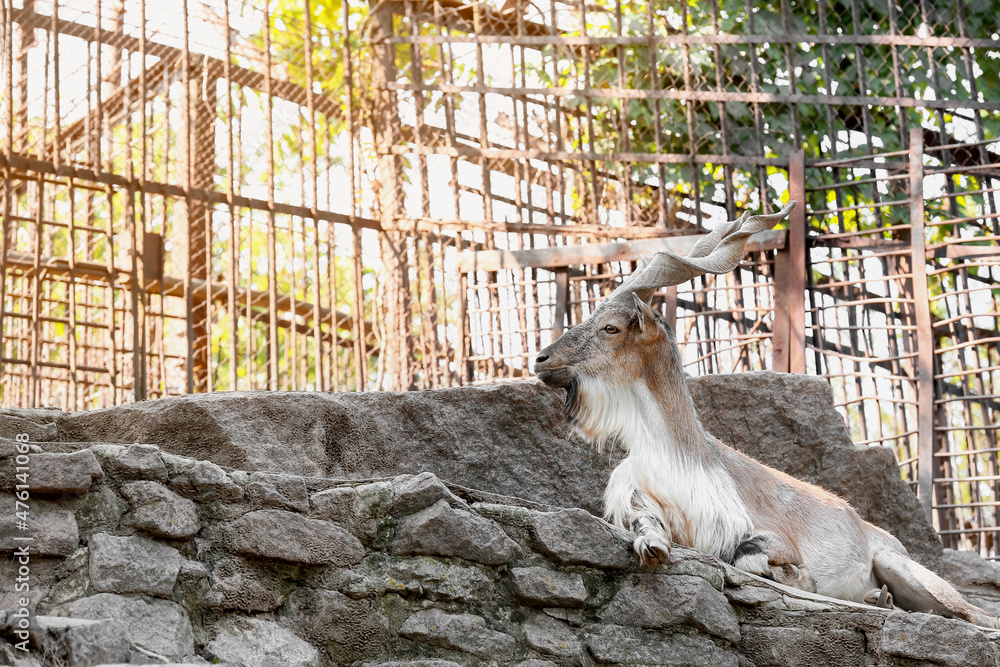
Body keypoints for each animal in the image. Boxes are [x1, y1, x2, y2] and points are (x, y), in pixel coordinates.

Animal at [533, 201, 1000, 628]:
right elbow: (648, 529)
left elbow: (750, 556)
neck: (677, 457)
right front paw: (653, 549)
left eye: (610, 328)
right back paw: (878, 598)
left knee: (975, 615)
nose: (541, 359)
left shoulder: (767, 532)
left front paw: (799, 578)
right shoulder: (641, 503)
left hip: (902, 567)